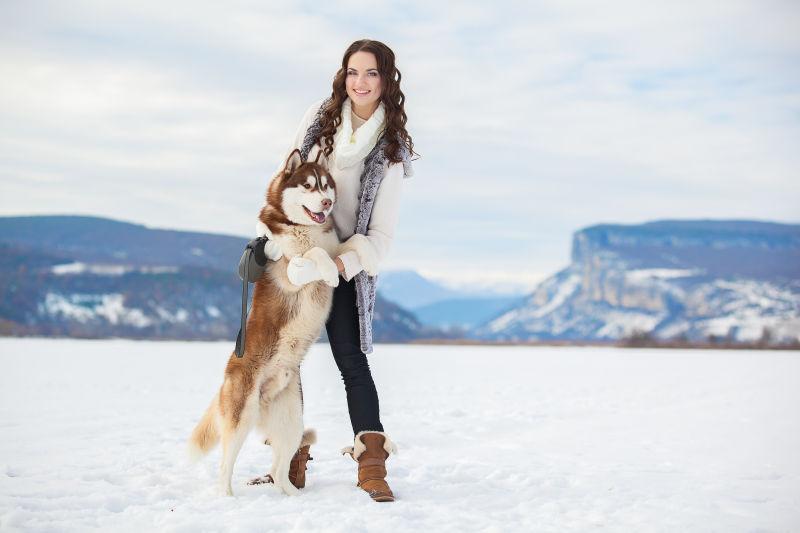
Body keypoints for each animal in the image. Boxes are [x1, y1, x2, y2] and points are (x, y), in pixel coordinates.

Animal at [188, 147, 378, 494]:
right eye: (308, 186)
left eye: (326, 186)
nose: (327, 203)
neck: (306, 230)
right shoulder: (289, 269)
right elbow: (315, 256)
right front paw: (329, 273)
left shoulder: (337, 244)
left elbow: (356, 242)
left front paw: (369, 258)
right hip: (241, 417)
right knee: (224, 466)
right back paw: (227, 497)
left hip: (291, 421)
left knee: (279, 469)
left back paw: (291, 495)